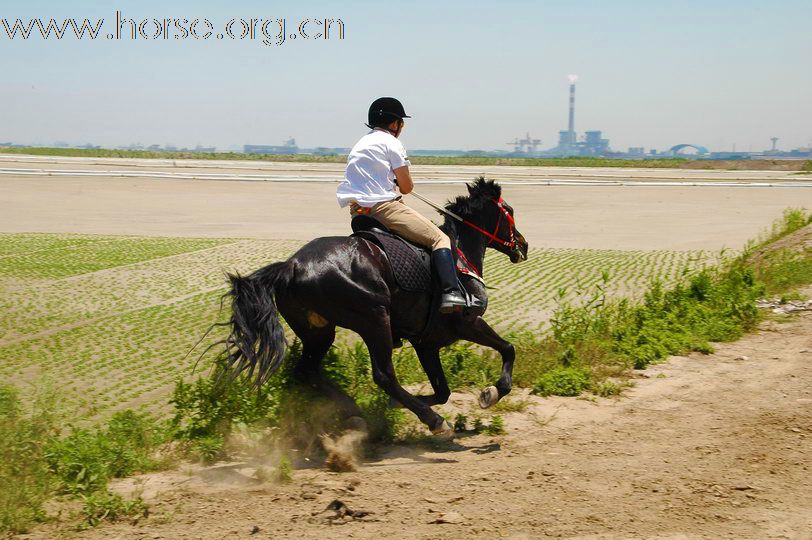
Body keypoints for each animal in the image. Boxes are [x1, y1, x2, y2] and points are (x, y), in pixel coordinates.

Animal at [224, 179, 528, 436]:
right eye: (510, 211)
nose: (523, 245)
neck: (459, 255)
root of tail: (292, 266)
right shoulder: (467, 324)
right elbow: (508, 349)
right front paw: (492, 392)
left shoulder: (426, 343)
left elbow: (443, 391)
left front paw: (397, 405)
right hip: (374, 319)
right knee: (383, 375)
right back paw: (432, 420)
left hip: (319, 332)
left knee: (307, 371)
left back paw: (355, 412)